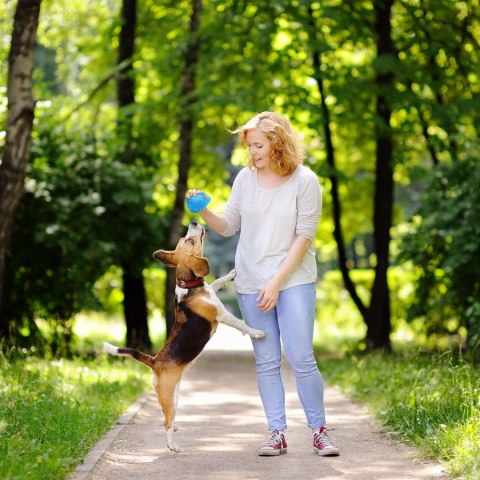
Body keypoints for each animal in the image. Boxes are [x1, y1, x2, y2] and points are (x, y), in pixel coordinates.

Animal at [103, 221, 266, 454]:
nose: (194, 222)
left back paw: (176, 427)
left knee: (167, 415)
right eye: (189, 240)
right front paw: (256, 332)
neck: (189, 286)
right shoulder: (222, 315)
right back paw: (172, 444)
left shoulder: (212, 290)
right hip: (169, 395)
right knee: (166, 421)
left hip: (173, 395)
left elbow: (217, 281)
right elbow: (240, 323)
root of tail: (155, 361)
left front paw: (230, 274)